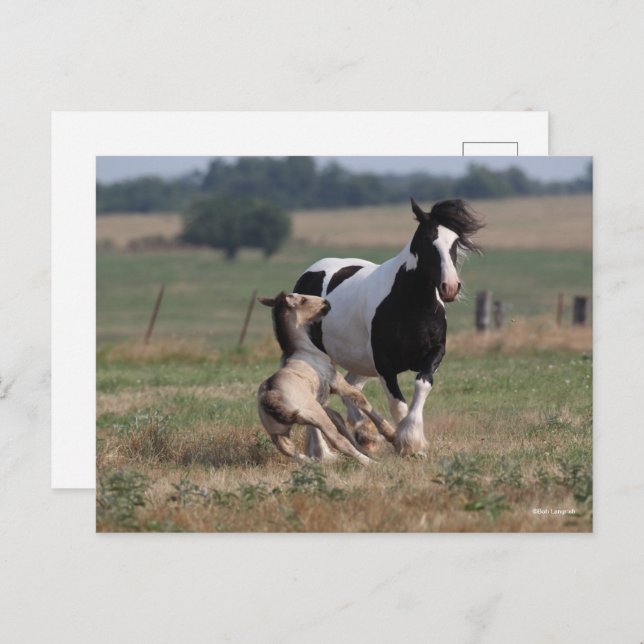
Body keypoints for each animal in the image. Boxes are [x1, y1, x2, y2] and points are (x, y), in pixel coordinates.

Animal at [257, 292, 397, 465]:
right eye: (303, 300)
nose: (326, 303)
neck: (305, 350)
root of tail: (269, 394)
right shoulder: (337, 383)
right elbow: (360, 399)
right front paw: (391, 434)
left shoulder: (322, 401)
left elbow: (338, 418)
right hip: (316, 416)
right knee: (337, 440)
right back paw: (371, 463)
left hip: (278, 433)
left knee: (289, 450)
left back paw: (312, 462)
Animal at [293, 198, 483, 457]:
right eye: (426, 239)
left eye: (455, 241)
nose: (450, 287)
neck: (411, 304)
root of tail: (308, 273)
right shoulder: (385, 365)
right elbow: (398, 405)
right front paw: (408, 444)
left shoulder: (434, 353)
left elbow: (422, 385)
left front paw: (412, 441)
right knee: (321, 397)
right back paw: (321, 452)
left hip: (360, 362)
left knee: (351, 387)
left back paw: (364, 434)